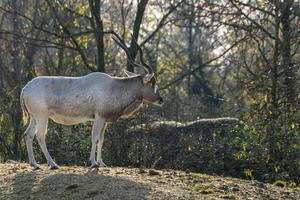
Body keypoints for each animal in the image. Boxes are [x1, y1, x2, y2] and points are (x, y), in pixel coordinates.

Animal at [20, 34, 164, 169]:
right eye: (152, 83)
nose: (161, 100)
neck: (114, 87)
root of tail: (25, 89)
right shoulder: (99, 117)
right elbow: (94, 138)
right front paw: (94, 163)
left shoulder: (105, 120)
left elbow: (101, 140)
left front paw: (102, 163)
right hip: (42, 116)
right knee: (40, 136)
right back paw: (52, 164)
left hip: (34, 117)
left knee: (28, 134)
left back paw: (34, 164)